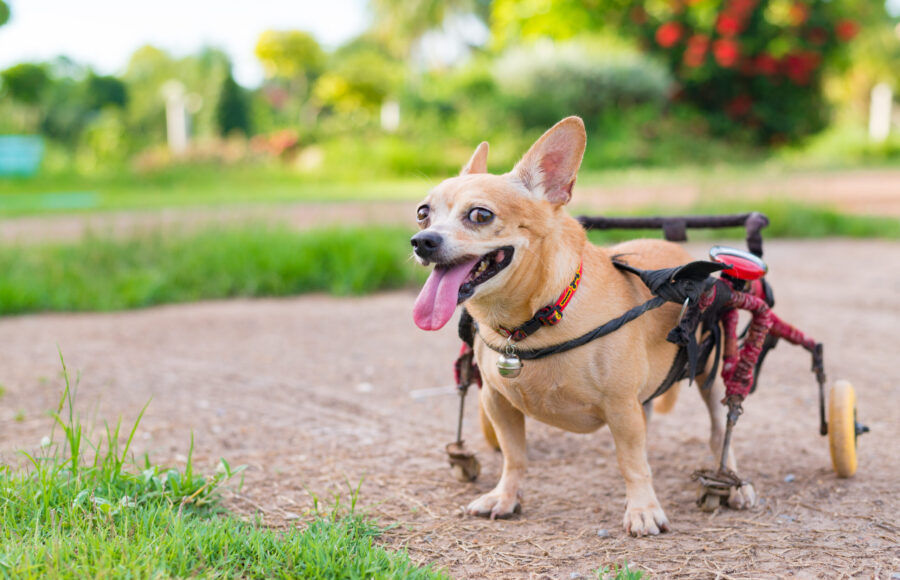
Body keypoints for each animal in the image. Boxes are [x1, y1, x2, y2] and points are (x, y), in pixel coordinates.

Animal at [412, 115, 756, 536]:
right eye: (423, 212)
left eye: (480, 215)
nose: (421, 240)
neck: (533, 320)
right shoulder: (498, 403)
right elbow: (514, 456)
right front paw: (505, 497)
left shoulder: (621, 407)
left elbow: (631, 462)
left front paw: (643, 509)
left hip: (710, 377)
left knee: (720, 431)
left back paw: (734, 484)